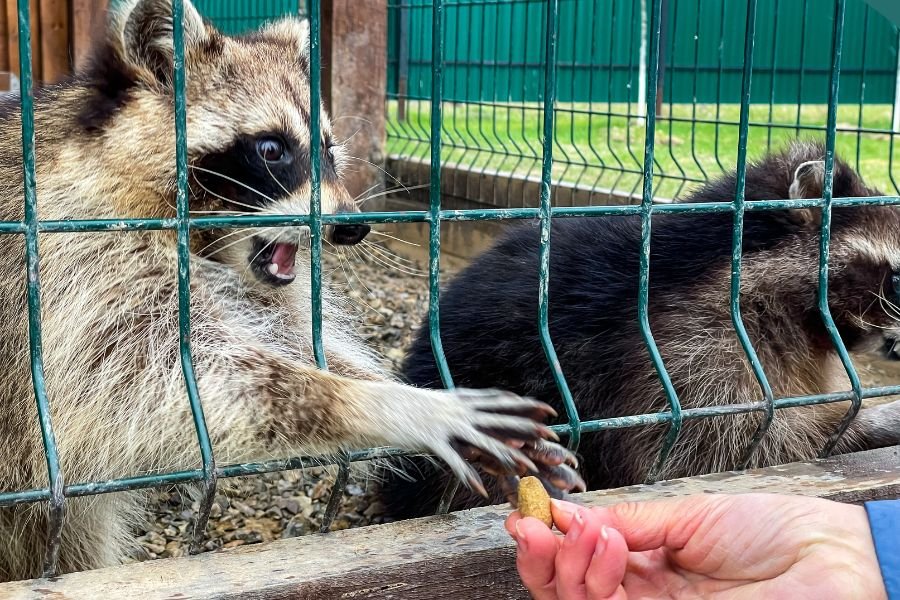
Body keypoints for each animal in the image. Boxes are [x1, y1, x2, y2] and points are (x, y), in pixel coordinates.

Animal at [0, 0, 584, 582]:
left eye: (327, 149)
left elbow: (288, 340)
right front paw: (384, 404)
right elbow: (154, 372)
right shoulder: (72, 255)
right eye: (271, 148)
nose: (352, 227)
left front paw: (396, 388)